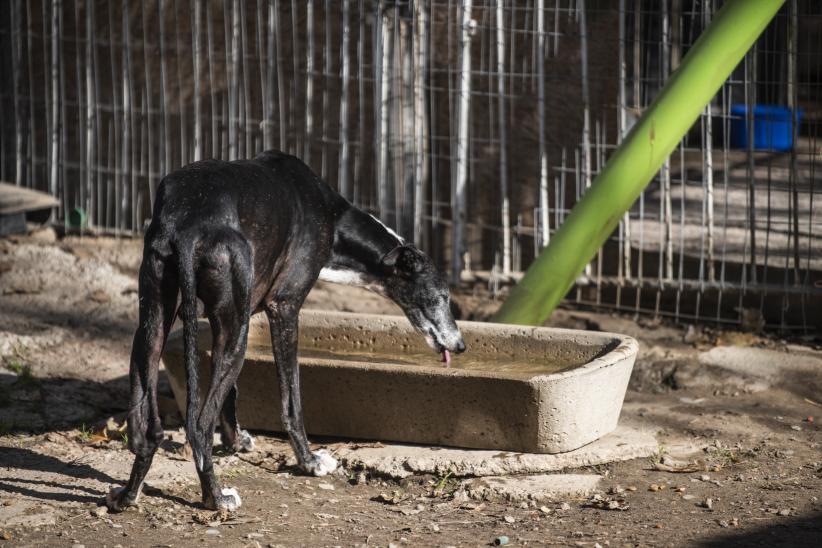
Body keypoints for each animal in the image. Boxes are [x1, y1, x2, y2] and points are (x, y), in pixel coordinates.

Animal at [109, 151, 466, 512]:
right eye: (442, 296)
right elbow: (292, 400)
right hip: (233, 333)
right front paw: (309, 461)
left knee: (145, 427)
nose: (461, 345)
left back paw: (128, 495)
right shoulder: (285, 308)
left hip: (154, 323)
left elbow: (232, 394)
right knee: (198, 424)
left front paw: (236, 441)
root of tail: (188, 224)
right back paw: (216, 497)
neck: (332, 216)